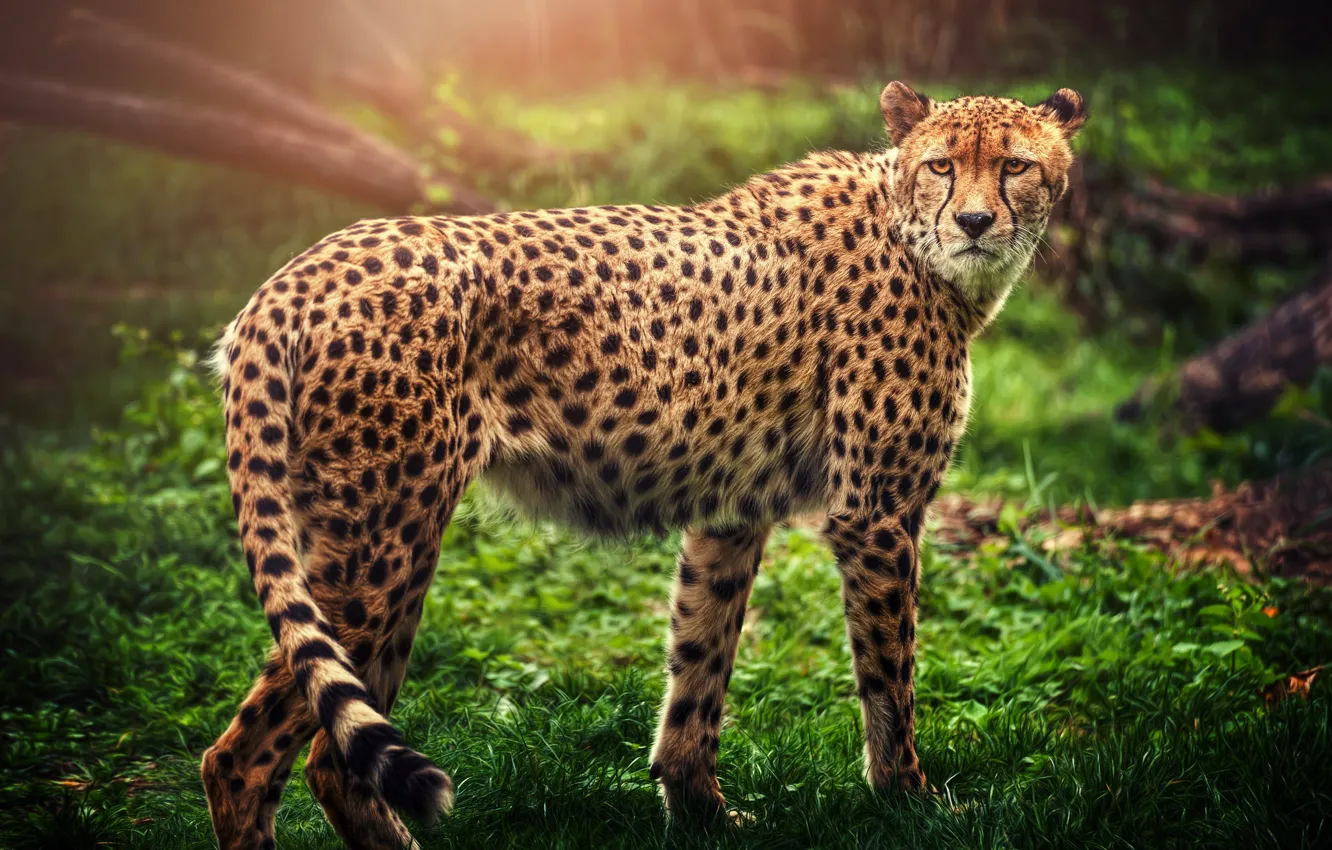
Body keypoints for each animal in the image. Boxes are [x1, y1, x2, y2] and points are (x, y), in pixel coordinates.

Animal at [201, 81, 1086, 849]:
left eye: (1015, 165)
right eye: (941, 164)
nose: (974, 220)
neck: (916, 240)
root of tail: (300, 270)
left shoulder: (733, 513)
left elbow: (701, 661)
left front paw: (700, 809)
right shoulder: (878, 512)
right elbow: (891, 677)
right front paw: (910, 802)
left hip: (376, 544)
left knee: (332, 753)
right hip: (384, 537)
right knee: (247, 757)